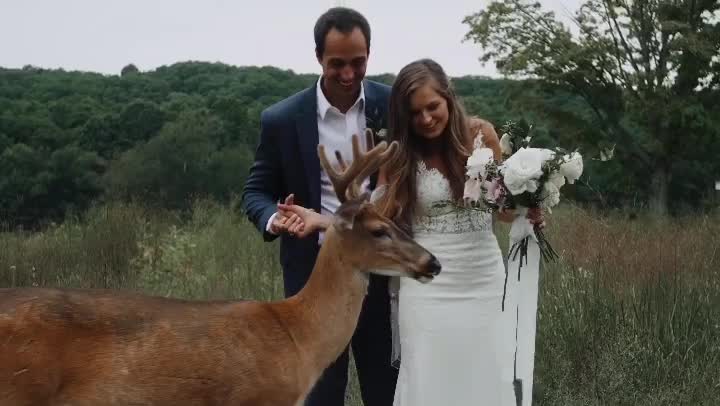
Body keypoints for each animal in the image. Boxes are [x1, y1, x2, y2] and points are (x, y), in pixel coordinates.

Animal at [0, 133, 438, 406]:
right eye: (380, 230)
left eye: (396, 221)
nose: (432, 261)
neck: (297, 337)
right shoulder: (260, 397)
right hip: (20, 390)